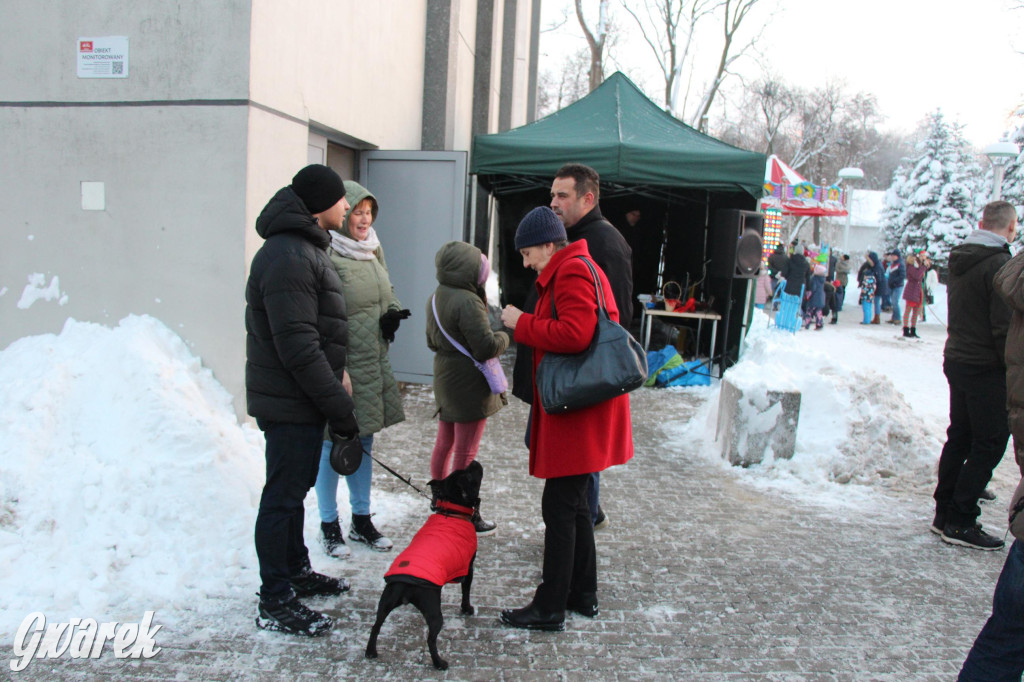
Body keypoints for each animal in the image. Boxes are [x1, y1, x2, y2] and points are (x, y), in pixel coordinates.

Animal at [366, 458, 481, 667]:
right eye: (469, 476)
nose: (474, 461)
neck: (452, 510)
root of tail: (405, 584)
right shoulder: (468, 568)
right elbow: (466, 591)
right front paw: (467, 608)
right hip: (434, 610)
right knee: (430, 638)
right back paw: (439, 663)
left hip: (386, 601)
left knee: (376, 625)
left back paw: (371, 652)